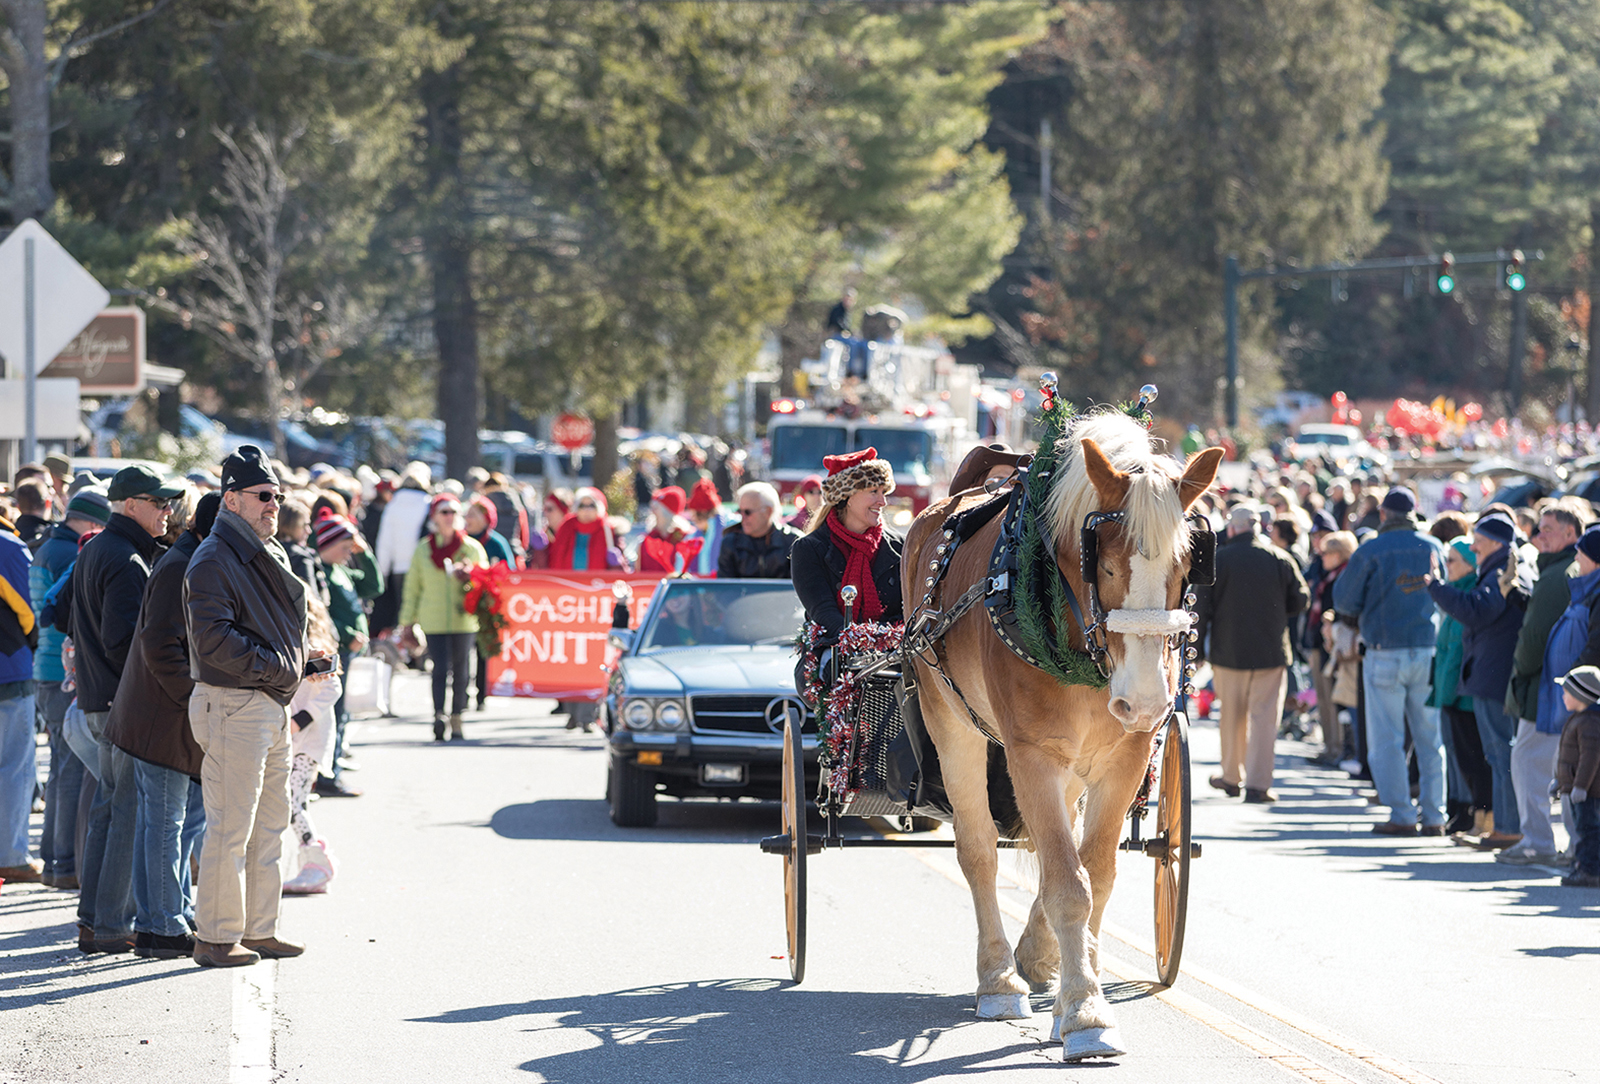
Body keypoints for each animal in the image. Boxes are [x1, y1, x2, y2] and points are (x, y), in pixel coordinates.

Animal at [902, 407, 1222, 1061]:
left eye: (1186, 566)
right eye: (1104, 563)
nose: (1145, 700)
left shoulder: (1125, 754)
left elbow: (1092, 871)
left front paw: (1081, 985)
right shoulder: (1032, 756)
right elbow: (1068, 884)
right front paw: (1085, 1013)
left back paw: (1038, 956)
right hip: (952, 723)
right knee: (978, 849)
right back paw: (1000, 978)